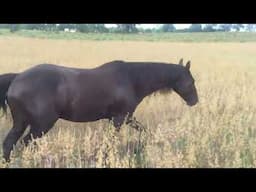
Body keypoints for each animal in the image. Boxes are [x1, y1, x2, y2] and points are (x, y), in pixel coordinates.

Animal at [0, 58, 198, 160]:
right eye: (191, 81)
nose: (195, 101)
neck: (132, 79)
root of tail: (17, 78)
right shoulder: (119, 118)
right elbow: (110, 140)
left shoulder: (125, 117)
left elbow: (143, 130)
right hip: (41, 124)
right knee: (26, 143)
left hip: (21, 122)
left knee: (10, 143)